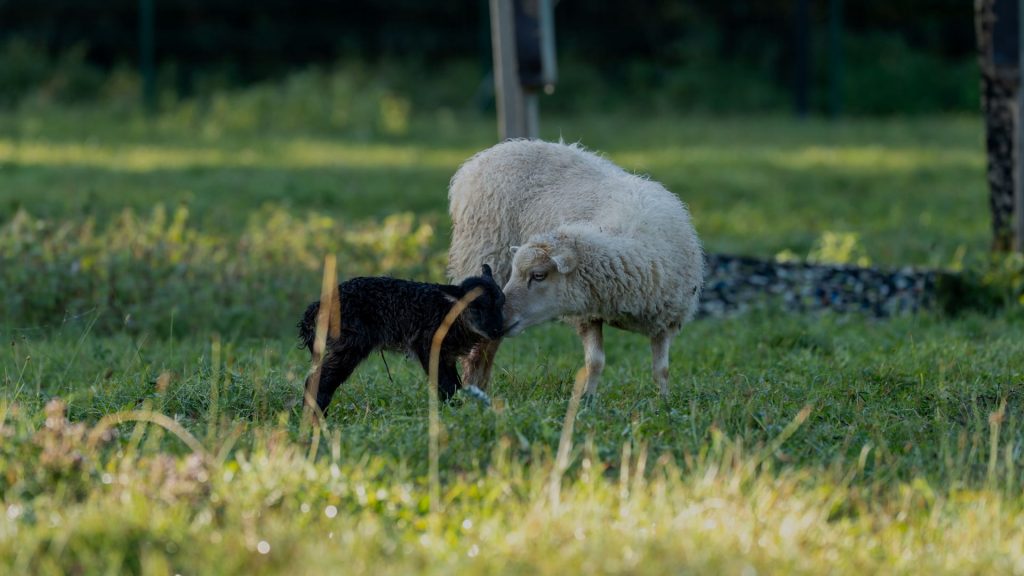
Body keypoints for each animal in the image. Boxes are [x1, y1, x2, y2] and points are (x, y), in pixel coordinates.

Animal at [297, 265, 504, 414]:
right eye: (475, 307)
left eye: (502, 303)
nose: (497, 330)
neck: (449, 312)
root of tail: (316, 308)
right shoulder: (428, 344)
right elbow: (446, 384)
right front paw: (455, 411)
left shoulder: (448, 355)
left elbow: (454, 382)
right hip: (350, 343)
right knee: (320, 379)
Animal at [447, 140, 703, 398]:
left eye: (538, 276)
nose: (504, 316)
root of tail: (481, 158)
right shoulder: (587, 314)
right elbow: (595, 362)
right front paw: (587, 399)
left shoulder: (666, 319)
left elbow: (662, 369)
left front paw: (664, 399)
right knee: (480, 344)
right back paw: (472, 387)